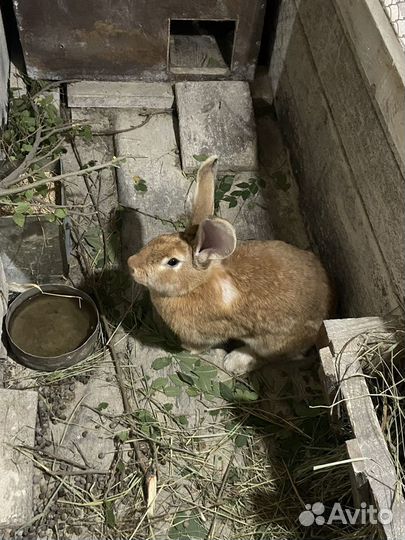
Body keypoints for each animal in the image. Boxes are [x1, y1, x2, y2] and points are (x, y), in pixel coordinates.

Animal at [128, 156, 332, 376]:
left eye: (172, 262)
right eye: (158, 239)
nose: (132, 265)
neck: (195, 285)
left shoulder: (203, 334)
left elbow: (199, 345)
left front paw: (186, 349)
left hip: (271, 342)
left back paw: (234, 361)